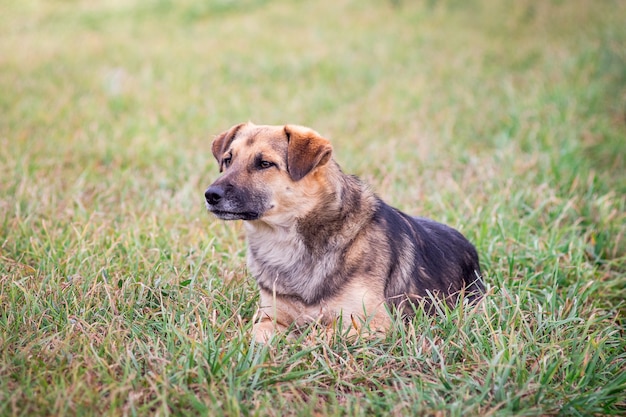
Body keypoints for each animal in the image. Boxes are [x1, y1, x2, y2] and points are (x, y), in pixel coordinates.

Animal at [205, 121, 482, 342]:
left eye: (264, 164)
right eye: (228, 160)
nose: (210, 195)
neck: (287, 241)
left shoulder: (370, 322)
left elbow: (313, 338)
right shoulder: (270, 318)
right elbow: (256, 336)